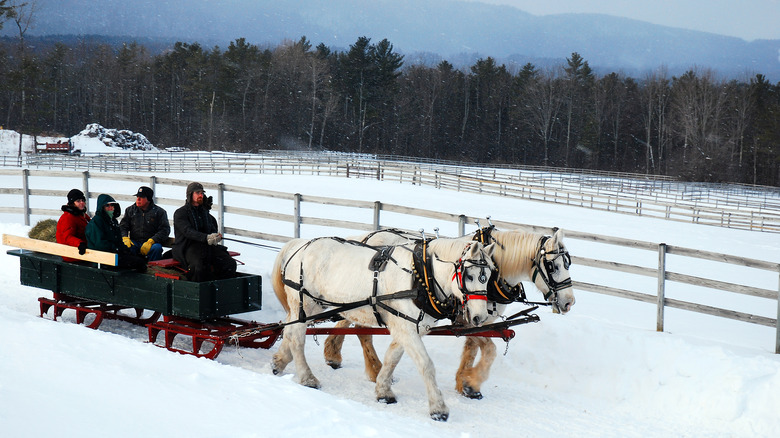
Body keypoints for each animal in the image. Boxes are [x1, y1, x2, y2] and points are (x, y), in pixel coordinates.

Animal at [272, 236, 496, 420]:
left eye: (488, 276)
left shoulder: (409, 327)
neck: (421, 276)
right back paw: (307, 378)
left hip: (309, 307)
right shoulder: (406, 328)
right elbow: (426, 364)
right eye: (469, 276)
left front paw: (383, 391)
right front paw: (438, 408)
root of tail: (300, 245)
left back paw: (280, 361)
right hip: (305, 304)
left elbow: (392, 358)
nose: (480, 317)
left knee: (289, 331)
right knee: (297, 337)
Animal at [322, 228, 572, 398]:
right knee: (360, 329)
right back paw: (366, 367)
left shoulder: (479, 318)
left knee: (352, 323)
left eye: (568, 264)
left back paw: (336, 355)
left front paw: (466, 383)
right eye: (553, 266)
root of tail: (369, 237)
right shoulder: (469, 318)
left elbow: (472, 348)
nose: (570, 302)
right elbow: (489, 349)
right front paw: (473, 381)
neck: (495, 271)